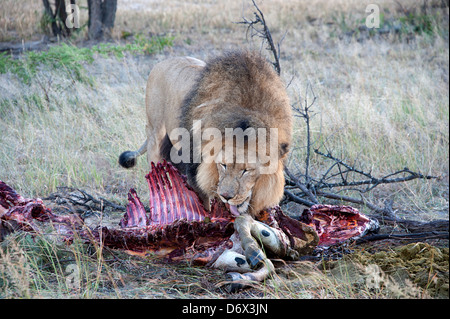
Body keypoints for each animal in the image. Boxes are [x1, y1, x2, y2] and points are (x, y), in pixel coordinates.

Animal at [118, 51, 292, 219]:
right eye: (223, 165)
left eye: (246, 170)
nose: (226, 197)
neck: (246, 113)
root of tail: (161, 63)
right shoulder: (195, 169)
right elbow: (204, 204)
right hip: (155, 134)